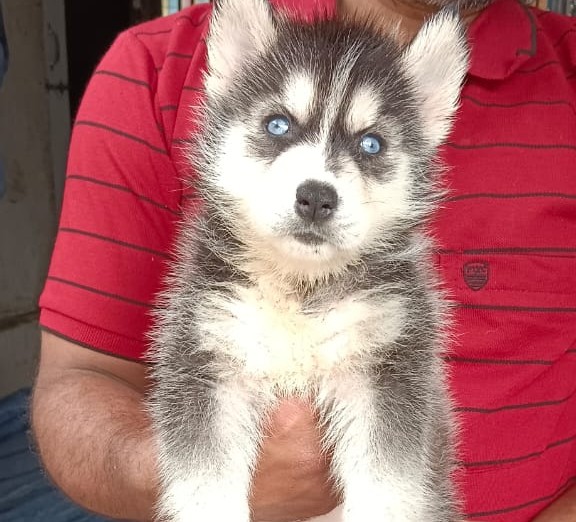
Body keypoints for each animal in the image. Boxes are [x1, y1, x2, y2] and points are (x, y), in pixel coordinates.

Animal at [148, 0, 468, 516]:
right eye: (278, 125)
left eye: (371, 143)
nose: (317, 197)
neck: (300, 288)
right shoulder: (205, 360)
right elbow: (205, 483)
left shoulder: (390, 370)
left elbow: (388, 482)